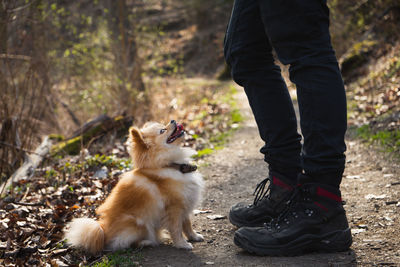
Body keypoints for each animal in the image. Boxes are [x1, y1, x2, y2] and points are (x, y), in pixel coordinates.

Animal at [65, 120, 205, 254]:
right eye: (162, 130)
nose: (173, 120)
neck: (171, 166)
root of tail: (103, 231)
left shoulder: (185, 202)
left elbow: (187, 224)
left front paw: (194, 236)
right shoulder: (174, 208)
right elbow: (177, 229)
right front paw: (182, 244)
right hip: (139, 224)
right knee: (123, 244)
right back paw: (145, 242)